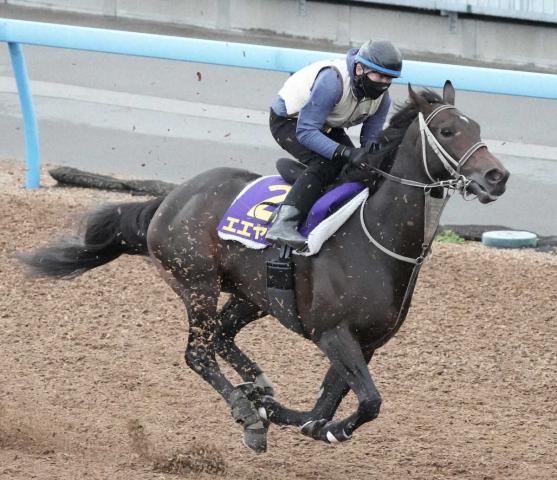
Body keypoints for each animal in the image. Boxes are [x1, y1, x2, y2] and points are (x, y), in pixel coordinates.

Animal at [19, 82, 508, 454]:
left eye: (478, 128)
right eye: (447, 130)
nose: (496, 177)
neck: (379, 240)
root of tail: (171, 198)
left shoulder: (366, 343)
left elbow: (327, 404)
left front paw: (303, 419)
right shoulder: (333, 332)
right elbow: (368, 400)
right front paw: (318, 425)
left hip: (252, 295)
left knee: (221, 336)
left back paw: (259, 390)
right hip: (197, 282)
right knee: (199, 351)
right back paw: (247, 411)